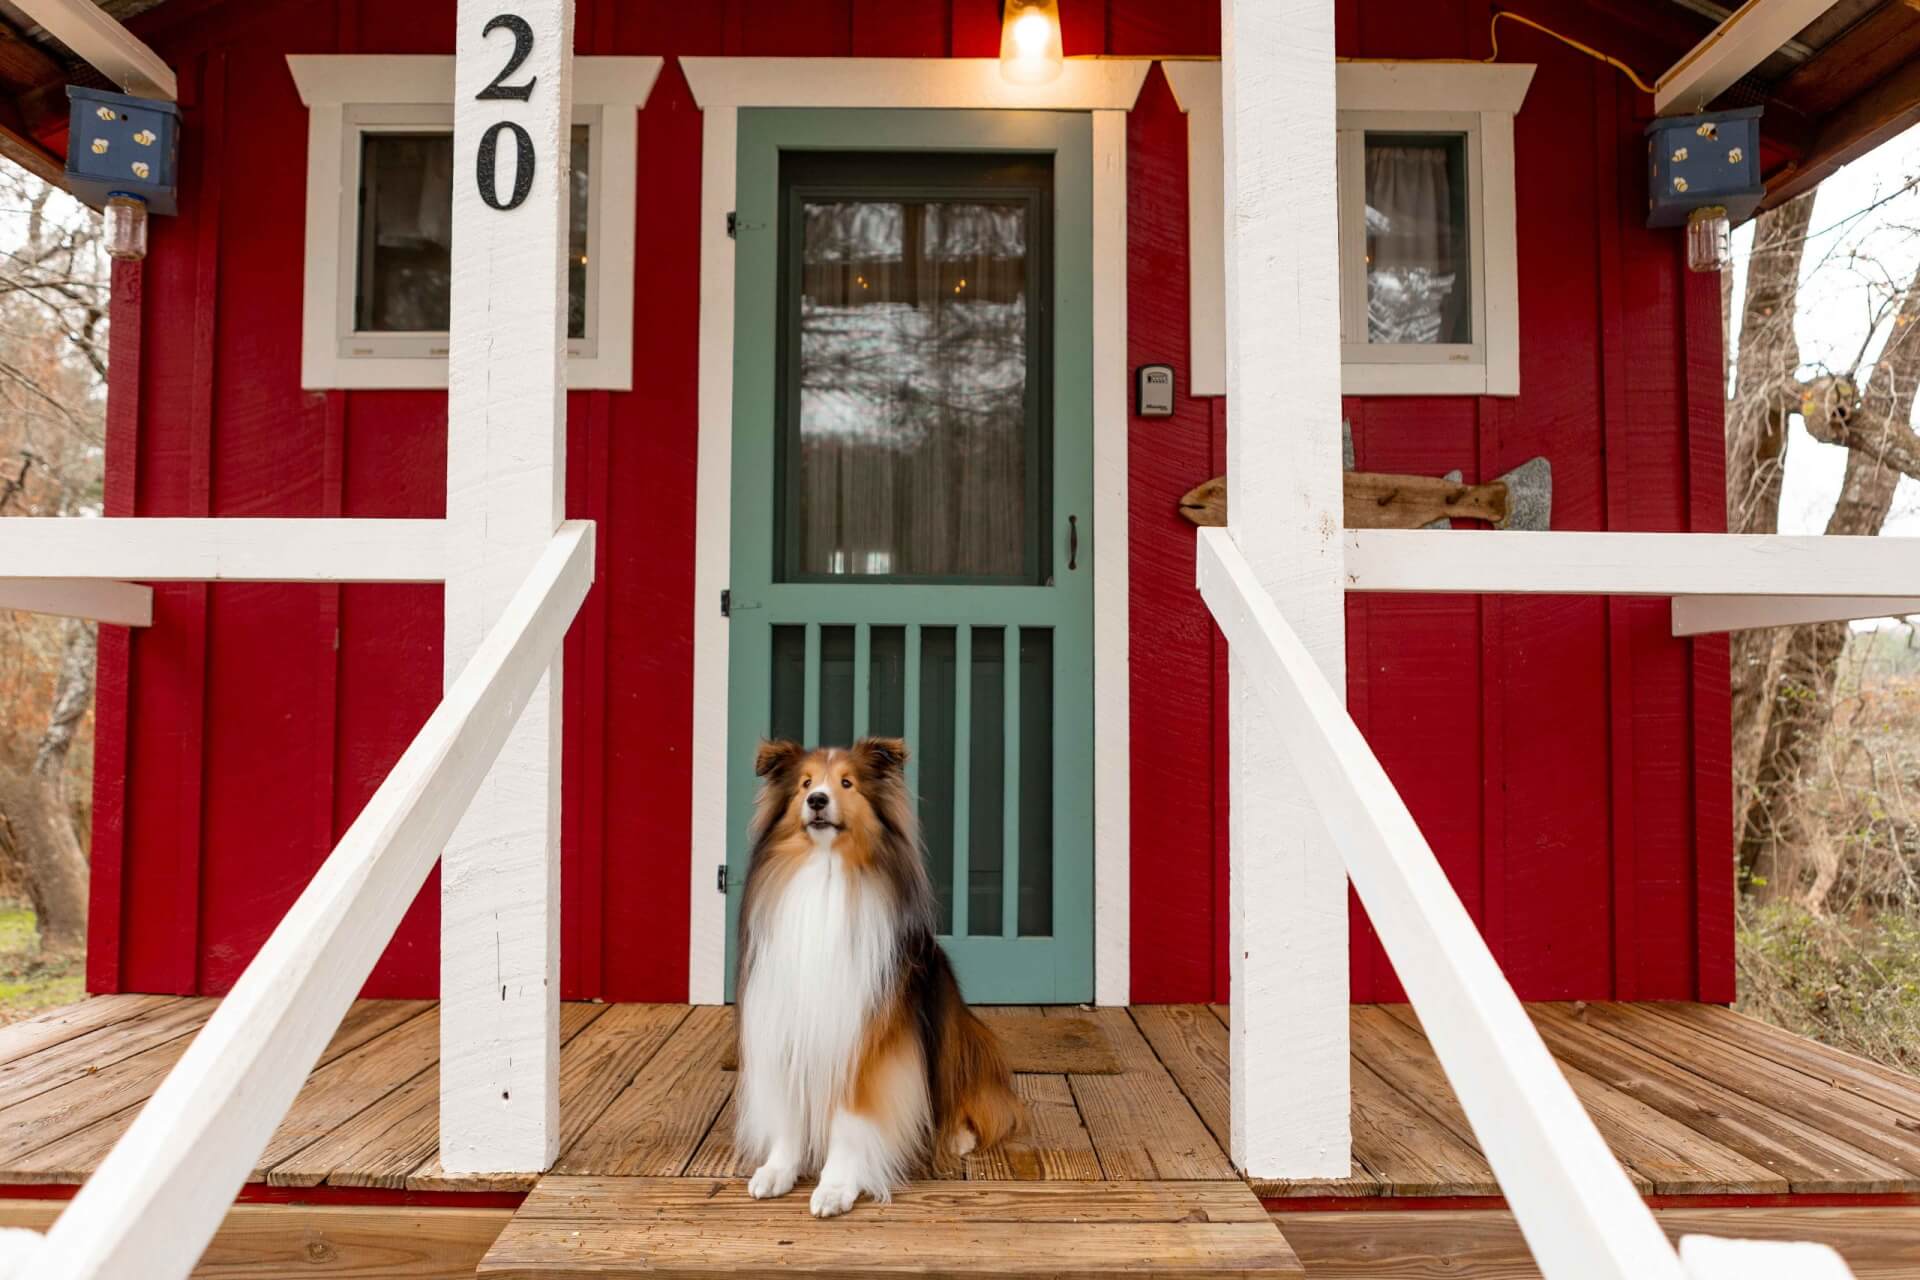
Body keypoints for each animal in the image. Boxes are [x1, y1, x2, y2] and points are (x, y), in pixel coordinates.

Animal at [733, 736, 1029, 1220]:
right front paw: (778, 1170)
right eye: (805, 784)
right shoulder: (784, 1026)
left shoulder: (866, 1043)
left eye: (847, 783)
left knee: (980, 1103)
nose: (817, 801)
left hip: (957, 1031)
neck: (825, 874)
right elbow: (789, 1114)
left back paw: (957, 1136)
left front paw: (836, 1186)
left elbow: (852, 1120)